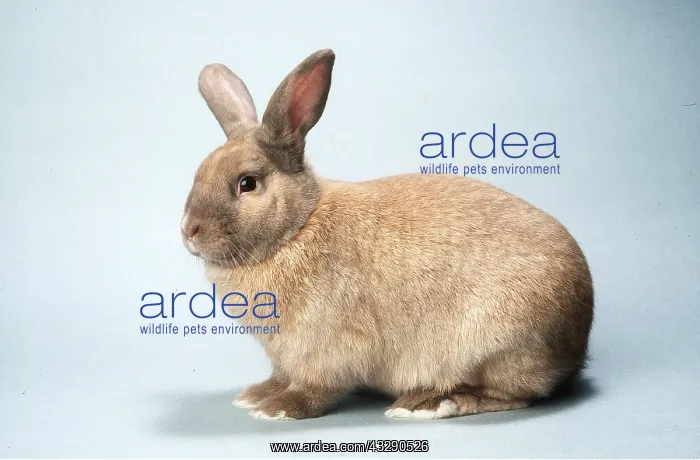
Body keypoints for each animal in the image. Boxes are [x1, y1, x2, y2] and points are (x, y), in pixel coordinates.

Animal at [181, 49, 594, 420]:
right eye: (199, 172)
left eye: (247, 184)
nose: (189, 231)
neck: (297, 229)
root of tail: (578, 338)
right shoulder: (285, 356)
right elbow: (282, 375)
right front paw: (256, 396)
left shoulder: (328, 347)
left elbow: (315, 387)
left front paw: (278, 409)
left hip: (496, 347)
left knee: (515, 395)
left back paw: (428, 403)